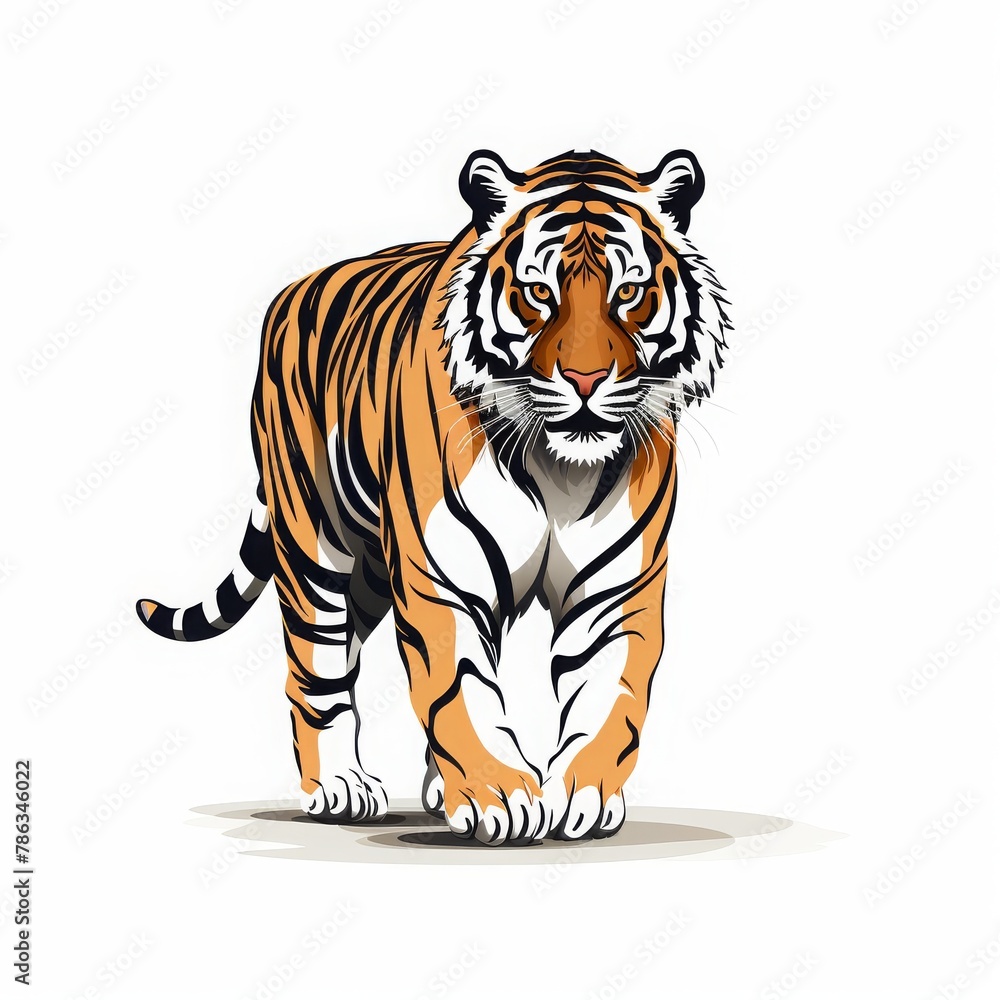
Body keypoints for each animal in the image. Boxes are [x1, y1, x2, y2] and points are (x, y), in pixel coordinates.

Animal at [137, 148, 731, 846]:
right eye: (538, 292)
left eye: (629, 292)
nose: (585, 380)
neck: (558, 466)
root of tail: (292, 292)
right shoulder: (443, 578)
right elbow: (458, 686)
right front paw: (502, 795)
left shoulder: (617, 590)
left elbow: (608, 691)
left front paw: (581, 795)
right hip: (315, 545)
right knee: (317, 669)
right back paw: (337, 787)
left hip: (372, 570)